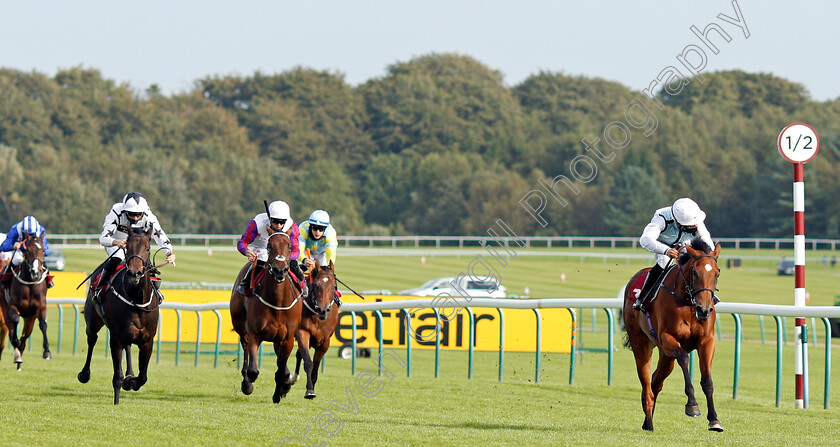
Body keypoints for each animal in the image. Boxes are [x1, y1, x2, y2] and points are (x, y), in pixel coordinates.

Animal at [0, 233, 50, 370]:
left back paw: (19, 360)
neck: (29, 284)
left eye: (43, 251)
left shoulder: (40, 307)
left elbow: (43, 325)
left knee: (24, 337)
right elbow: (15, 321)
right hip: (5, 308)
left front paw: (47, 352)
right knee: (12, 329)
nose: (35, 272)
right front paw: (15, 344)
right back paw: (17, 354)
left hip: (29, 318)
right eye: (28, 250)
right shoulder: (12, 306)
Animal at [79, 228, 161, 406]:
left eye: (147, 248)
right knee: (92, 340)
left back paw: (130, 375)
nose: (134, 273)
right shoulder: (116, 339)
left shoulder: (147, 341)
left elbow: (143, 377)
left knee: (128, 346)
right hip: (93, 322)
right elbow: (117, 377)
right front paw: (117, 401)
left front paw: (131, 381)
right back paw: (84, 374)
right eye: (128, 247)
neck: (137, 300)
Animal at [231, 226, 304, 404]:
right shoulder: (255, 334)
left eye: (290, 247)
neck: (278, 303)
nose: (279, 270)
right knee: (244, 347)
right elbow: (253, 370)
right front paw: (247, 384)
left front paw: (280, 391)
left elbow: (281, 371)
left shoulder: (287, 338)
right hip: (240, 324)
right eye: (270, 245)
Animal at [290, 262, 340, 400]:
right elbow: (308, 362)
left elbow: (315, 368)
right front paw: (310, 391)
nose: (323, 310)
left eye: (333, 286)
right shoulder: (303, 333)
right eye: (317, 285)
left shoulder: (324, 341)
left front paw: (311, 387)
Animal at [624, 240, 720, 432]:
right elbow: (683, 357)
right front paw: (692, 405)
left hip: (666, 356)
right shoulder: (667, 338)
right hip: (641, 343)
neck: (688, 303)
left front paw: (714, 420)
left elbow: (707, 381)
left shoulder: (706, 341)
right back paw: (649, 422)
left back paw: (647, 420)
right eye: (694, 272)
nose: (704, 310)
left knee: (656, 381)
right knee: (646, 383)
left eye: (717, 272)